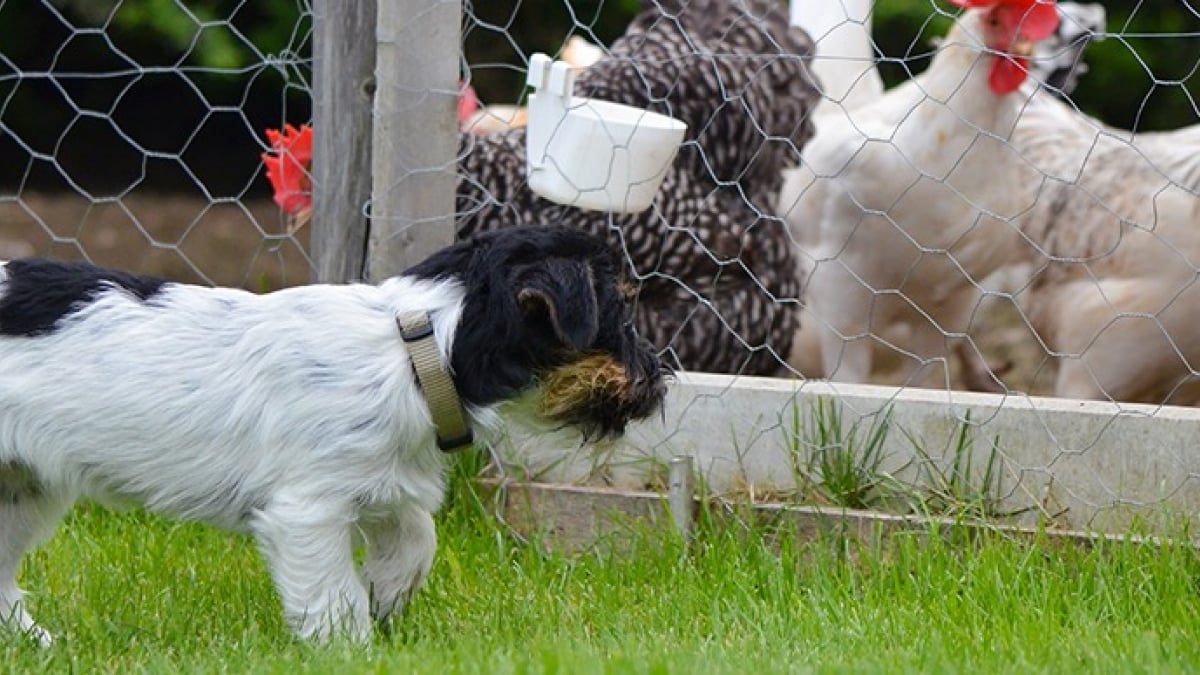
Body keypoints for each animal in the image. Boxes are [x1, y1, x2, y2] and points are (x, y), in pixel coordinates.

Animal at [0, 224, 667, 638]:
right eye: (621, 312)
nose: (659, 382)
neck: (420, 350)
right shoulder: (308, 511)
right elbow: (331, 597)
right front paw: (352, 643)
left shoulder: (378, 481)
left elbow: (416, 535)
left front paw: (387, 594)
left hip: (23, 491)